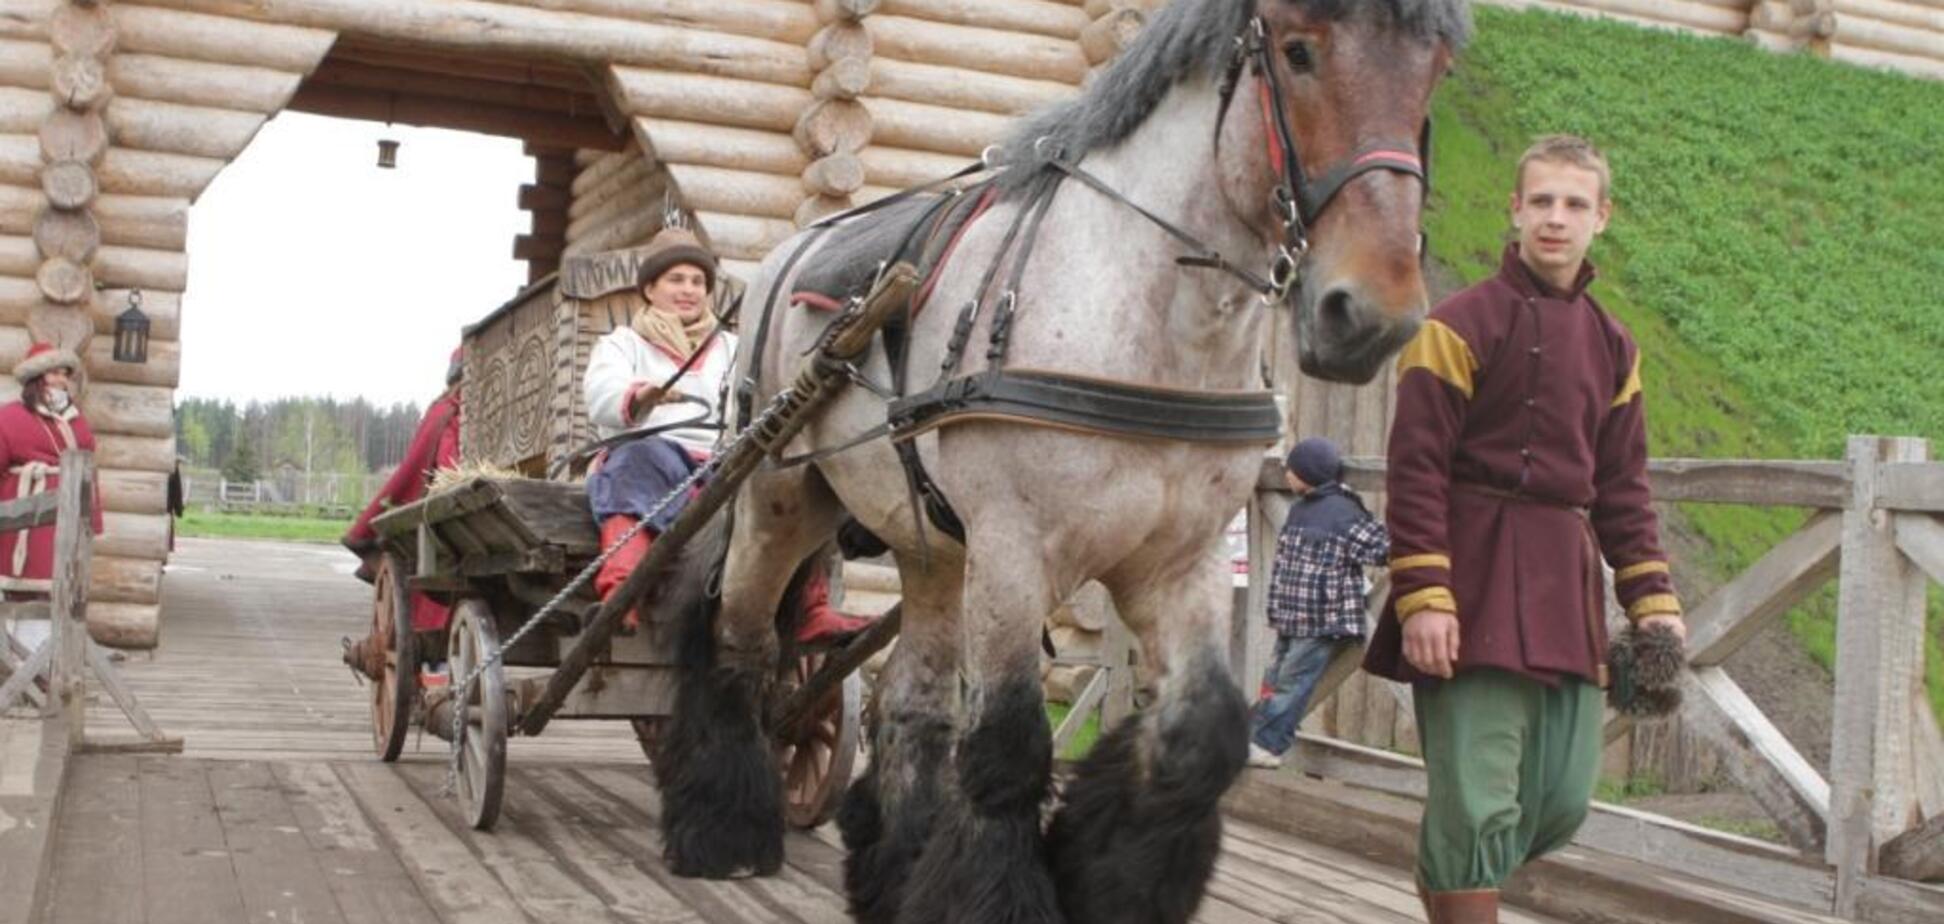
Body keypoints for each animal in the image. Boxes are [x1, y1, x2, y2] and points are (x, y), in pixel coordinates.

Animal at [645, 3, 1461, 922]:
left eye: (1435, 72)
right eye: (1297, 53)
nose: (1373, 314)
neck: (1144, 319)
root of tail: (786, 258)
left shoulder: (1180, 561)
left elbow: (1202, 733)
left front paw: (1110, 879)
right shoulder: (1014, 550)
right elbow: (1009, 744)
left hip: (929, 547)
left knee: (910, 700)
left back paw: (893, 866)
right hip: (779, 498)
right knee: (739, 639)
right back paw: (723, 824)